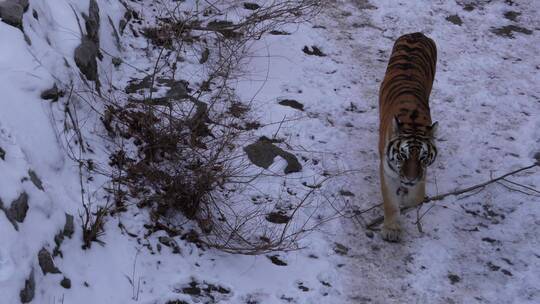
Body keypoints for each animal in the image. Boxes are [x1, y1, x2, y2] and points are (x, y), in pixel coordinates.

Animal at [380, 32, 438, 242]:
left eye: (423, 157)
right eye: (402, 155)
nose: (411, 179)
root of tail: (418, 33)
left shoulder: (423, 173)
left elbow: (416, 198)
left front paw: (405, 199)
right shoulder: (386, 169)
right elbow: (390, 201)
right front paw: (391, 229)